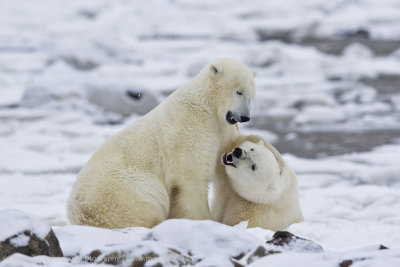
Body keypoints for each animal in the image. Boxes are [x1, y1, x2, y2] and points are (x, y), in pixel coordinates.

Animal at [67, 57, 258, 229]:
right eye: (239, 91)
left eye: (251, 96)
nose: (245, 117)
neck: (209, 107)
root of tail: (78, 217)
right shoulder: (190, 128)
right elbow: (192, 176)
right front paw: (205, 220)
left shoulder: (222, 129)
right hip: (124, 187)